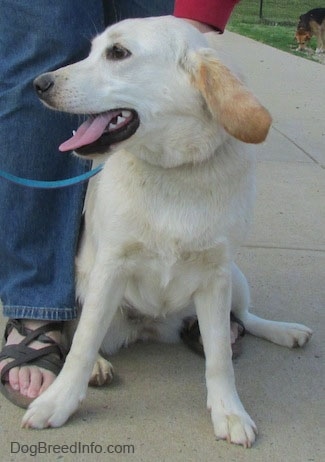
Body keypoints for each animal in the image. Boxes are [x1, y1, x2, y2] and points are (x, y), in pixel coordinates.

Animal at [26, 16, 312, 446]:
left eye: (117, 53)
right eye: (91, 50)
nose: (40, 83)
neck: (173, 171)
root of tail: (152, 326)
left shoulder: (216, 277)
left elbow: (219, 359)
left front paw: (229, 411)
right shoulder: (110, 268)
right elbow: (81, 345)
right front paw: (57, 402)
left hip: (236, 278)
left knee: (245, 317)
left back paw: (284, 331)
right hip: (82, 283)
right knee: (79, 333)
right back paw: (99, 365)